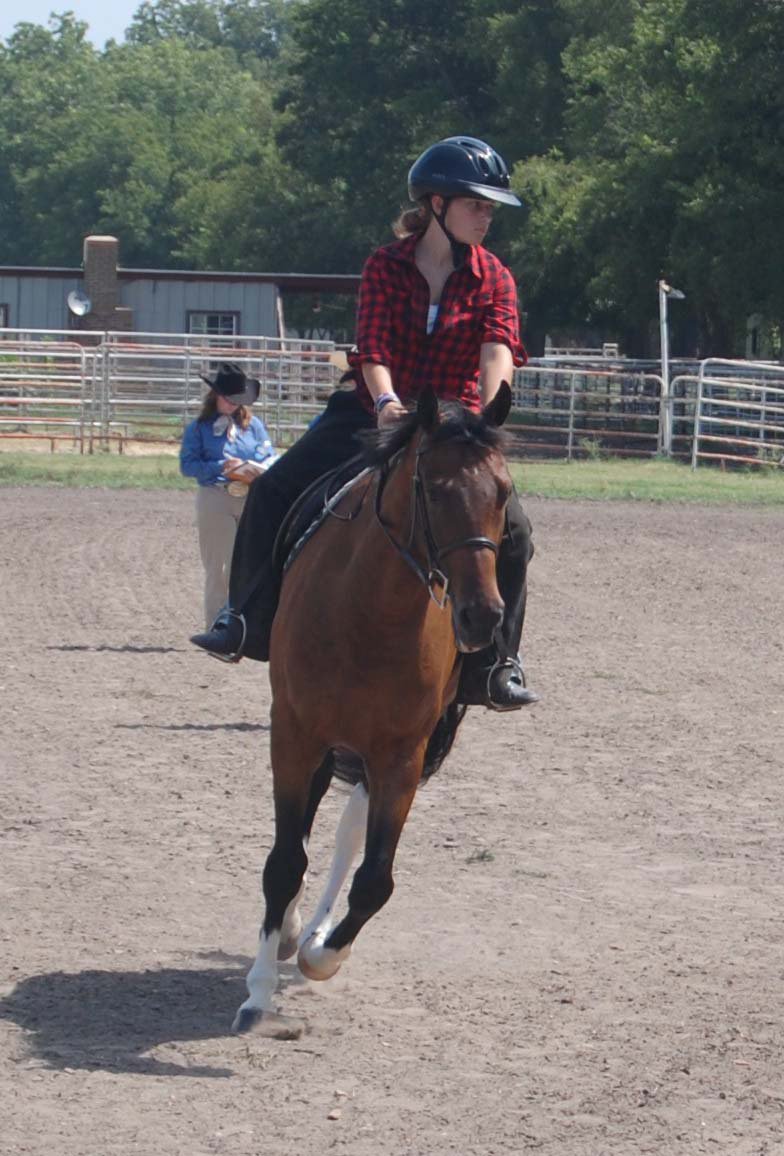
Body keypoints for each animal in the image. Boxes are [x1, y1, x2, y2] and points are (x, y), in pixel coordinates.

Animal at [233, 383, 515, 1035]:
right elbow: (283, 861)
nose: (482, 617)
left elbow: (373, 880)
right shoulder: (294, 733)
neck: (370, 611)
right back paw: (288, 931)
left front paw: (323, 955)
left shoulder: (402, 754)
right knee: (303, 833)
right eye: (434, 491)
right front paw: (257, 994)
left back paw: (309, 933)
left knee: (345, 832)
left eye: (503, 493)